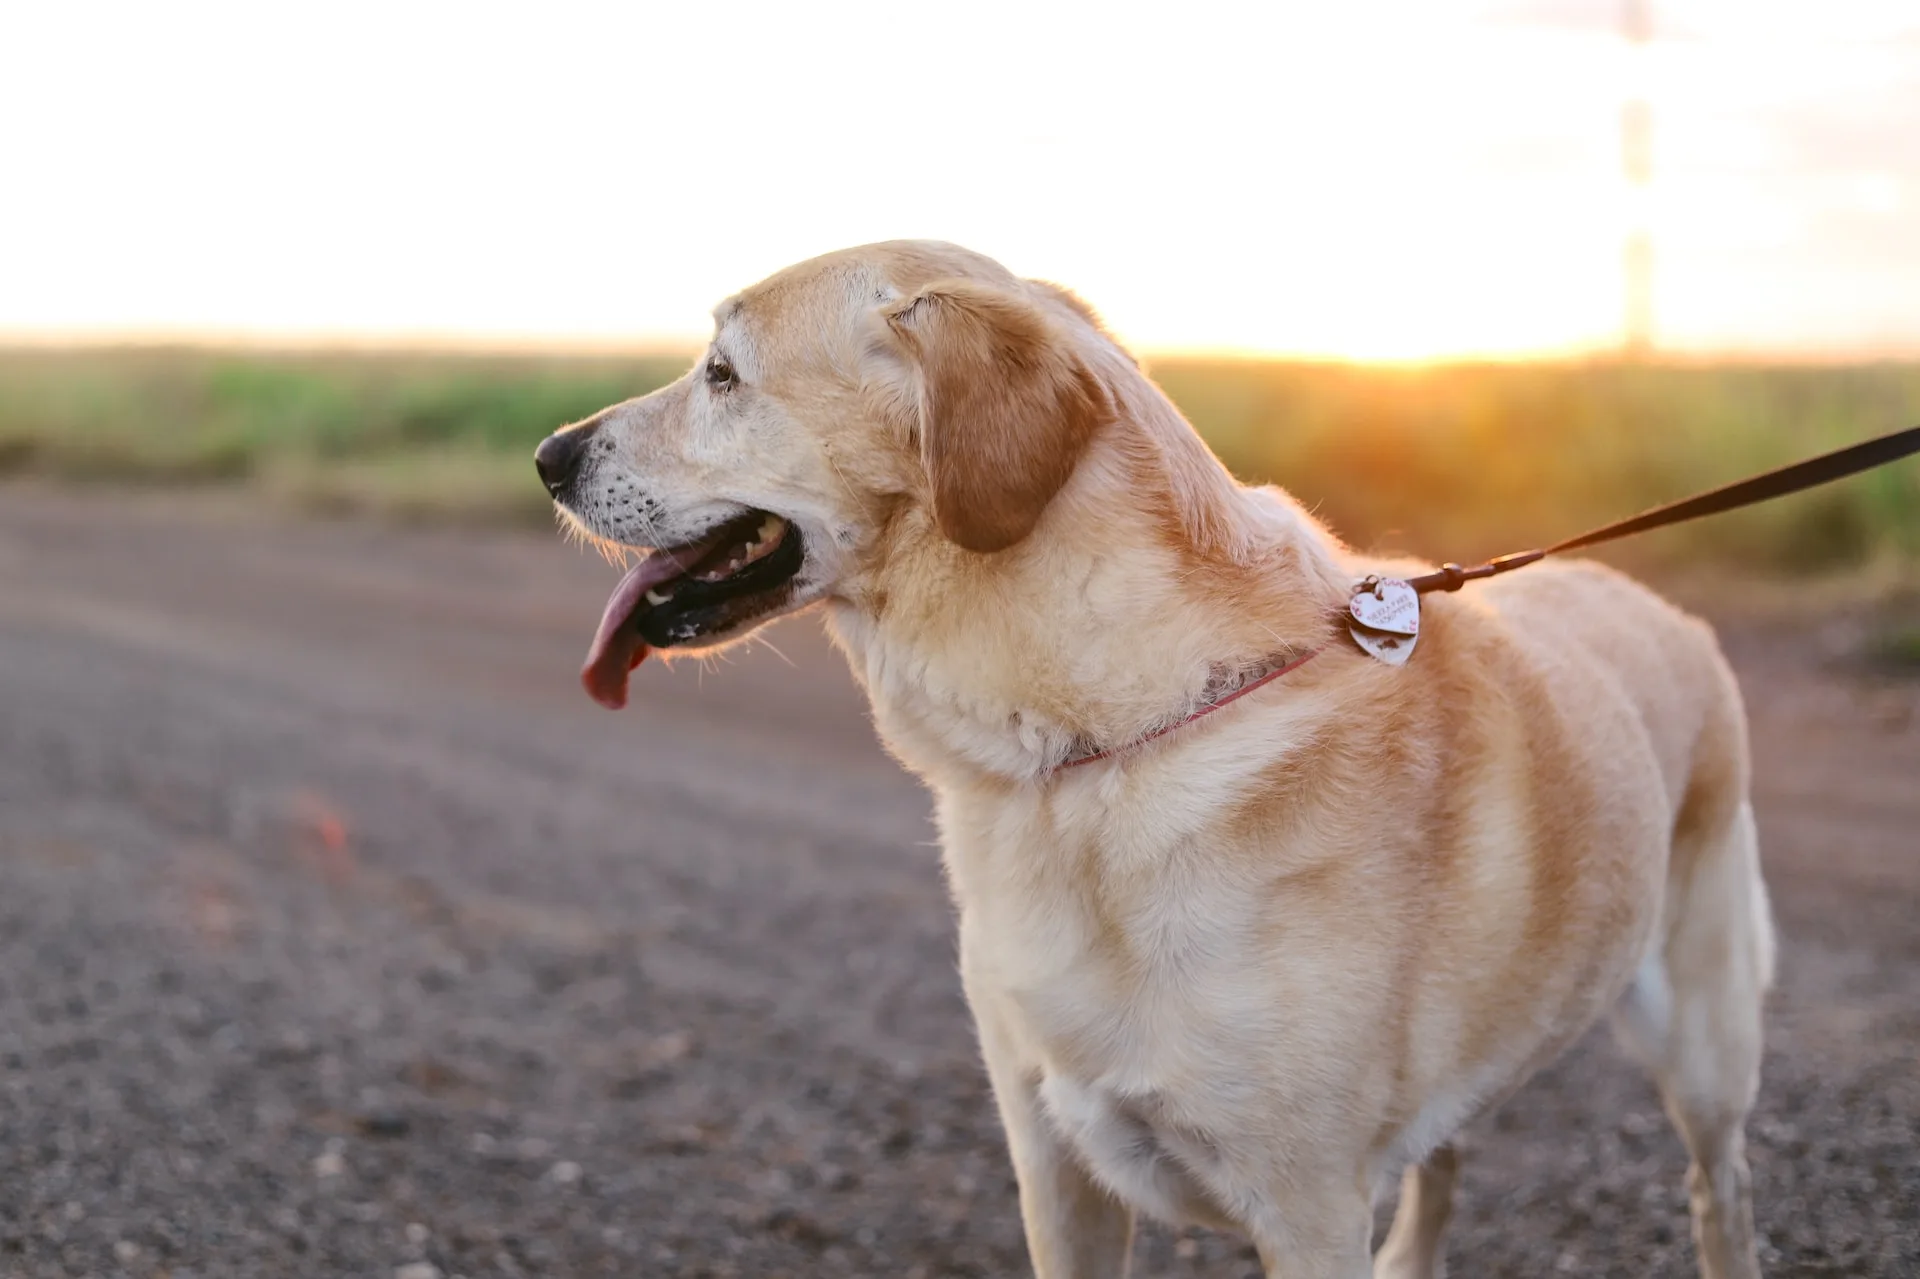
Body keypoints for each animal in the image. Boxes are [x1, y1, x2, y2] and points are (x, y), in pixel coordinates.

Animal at [537, 241, 1766, 1275]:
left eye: (722, 375)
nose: (548, 455)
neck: (1089, 747)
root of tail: (1663, 606)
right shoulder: (1057, 1170)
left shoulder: (1307, 1207)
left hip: (1707, 1052)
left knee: (1719, 1192)